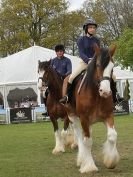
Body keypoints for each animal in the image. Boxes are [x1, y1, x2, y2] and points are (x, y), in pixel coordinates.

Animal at [63, 44, 119, 173]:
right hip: (72, 116)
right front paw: (89, 166)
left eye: (112, 67)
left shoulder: (108, 115)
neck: (96, 95)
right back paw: (81, 159)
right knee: (79, 136)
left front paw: (110, 161)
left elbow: (112, 136)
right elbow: (87, 142)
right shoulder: (84, 118)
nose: (105, 91)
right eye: (98, 65)